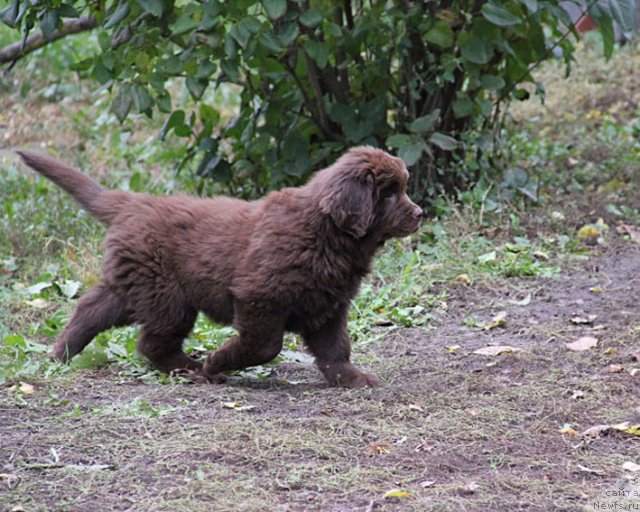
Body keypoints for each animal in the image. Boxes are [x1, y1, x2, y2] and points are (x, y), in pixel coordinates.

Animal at [15, 146, 422, 386]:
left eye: (403, 188)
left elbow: (335, 347)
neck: (327, 233)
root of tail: (134, 202)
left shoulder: (328, 305)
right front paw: (217, 362)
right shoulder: (259, 297)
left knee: (90, 309)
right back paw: (193, 369)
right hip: (167, 296)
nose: (420, 213)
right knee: (151, 341)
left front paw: (352, 378)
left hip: (133, 285)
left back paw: (60, 354)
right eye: (389, 193)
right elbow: (265, 346)